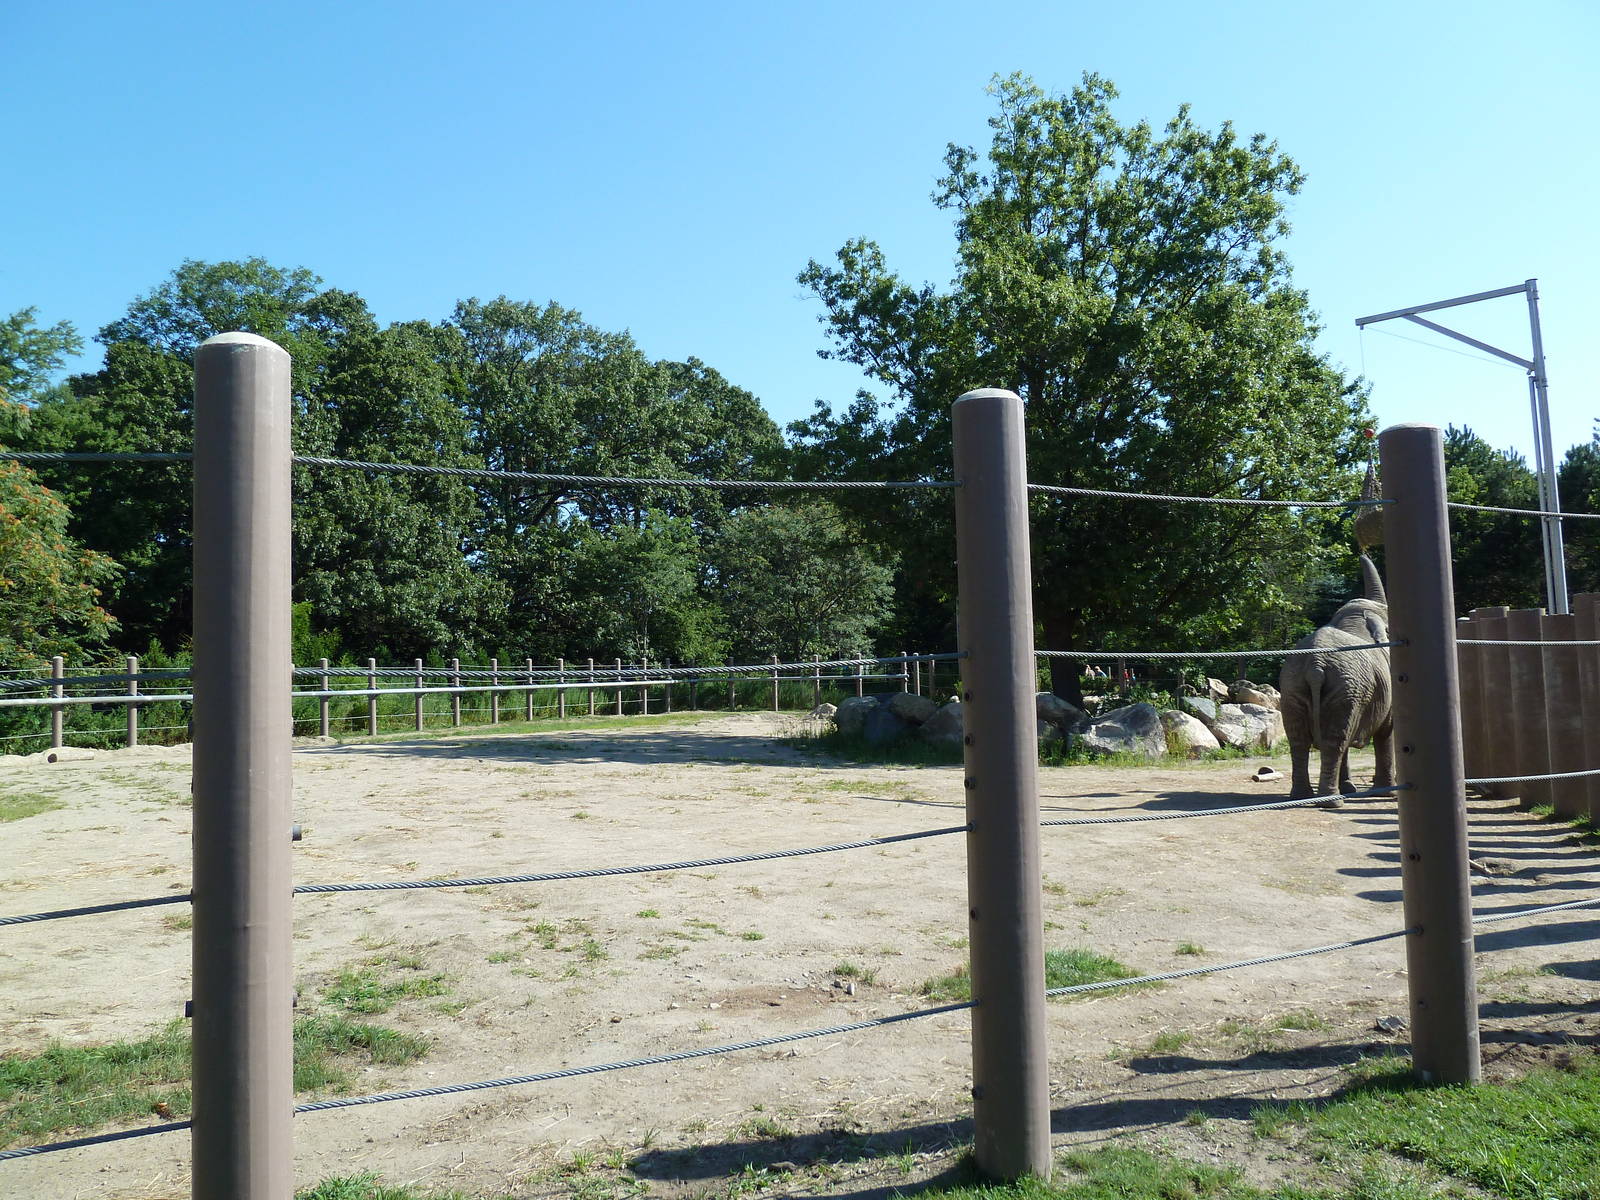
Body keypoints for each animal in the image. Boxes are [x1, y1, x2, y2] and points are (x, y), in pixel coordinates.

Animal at [1278, 555, 1394, 805]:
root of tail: (1316, 665)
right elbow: (1386, 730)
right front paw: (1386, 792)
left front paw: (1351, 788)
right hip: (1346, 689)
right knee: (1335, 741)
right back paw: (1332, 801)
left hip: (1294, 687)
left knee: (1299, 740)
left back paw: (1302, 797)